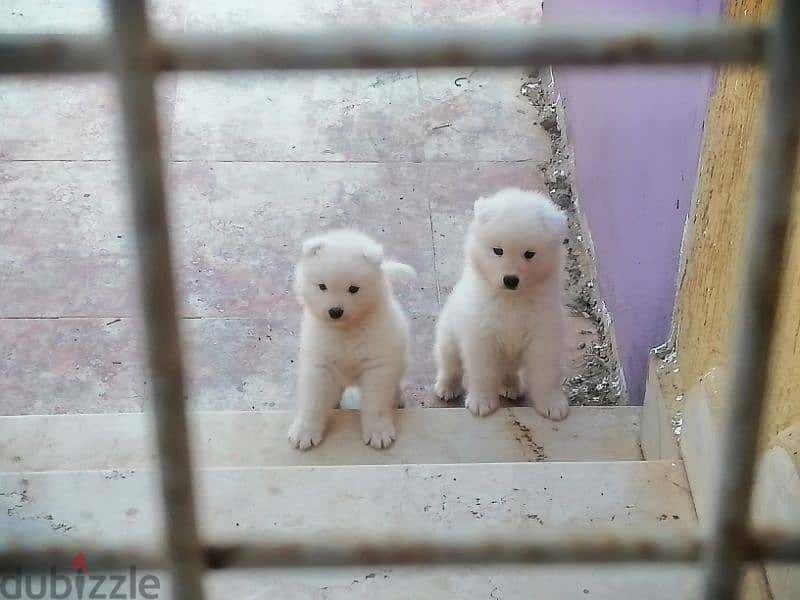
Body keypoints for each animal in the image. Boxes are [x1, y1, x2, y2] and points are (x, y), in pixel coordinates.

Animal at [288, 230, 416, 450]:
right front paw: (304, 432)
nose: (335, 311)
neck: (346, 331)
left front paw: (378, 432)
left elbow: (376, 403)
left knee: (395, 382)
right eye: (322, 286)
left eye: (353, 289)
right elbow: (312, 401)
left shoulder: (377, 366)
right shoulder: (319, 363)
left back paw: (397, 399)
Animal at [434, 190, 572, 420]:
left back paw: (511, 386)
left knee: (507, 373)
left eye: (529, 254)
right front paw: (481, 402)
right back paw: (446, 388)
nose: (510, 280)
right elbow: (482, 372)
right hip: (449, 337)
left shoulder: (543, 335)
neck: (511, 300)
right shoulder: (481, 335)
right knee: (450, 365)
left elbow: (546, 373)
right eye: (498, 250)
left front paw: (552, 403)